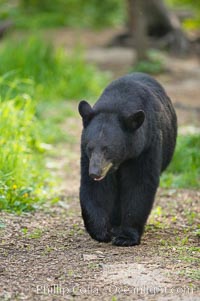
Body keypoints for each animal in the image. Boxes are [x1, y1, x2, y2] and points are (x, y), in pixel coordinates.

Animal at [78, 72, 177, 246]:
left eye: (108, 149)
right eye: (90, 147)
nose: (95, 173)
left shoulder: (146, 147)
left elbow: (139, 184)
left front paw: (126, 237)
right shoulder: (87, 158)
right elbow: (95, 188)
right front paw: (100, 231)